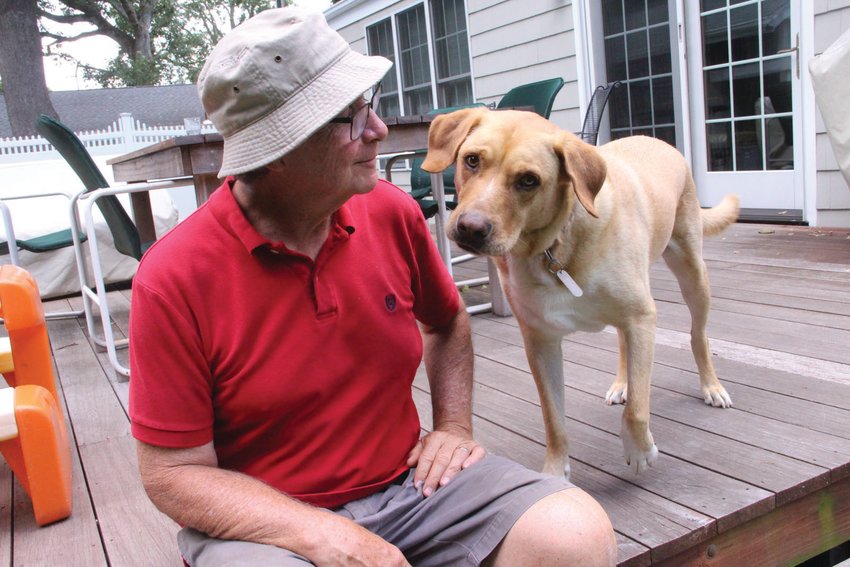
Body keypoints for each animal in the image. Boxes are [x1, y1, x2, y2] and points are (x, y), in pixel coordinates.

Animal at [422, 108, 736, 478]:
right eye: (471, 160)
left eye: (528, 180)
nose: (470, 228)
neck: (555, 247)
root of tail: (655, 139)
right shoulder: (541, 342)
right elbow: (554, 420)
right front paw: (556, 472)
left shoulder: (641, 317)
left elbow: (638, 408)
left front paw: (639, 450)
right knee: (623, 344)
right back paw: (622, 384)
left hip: (692, 273)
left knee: (698, 335)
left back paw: (711, 387)